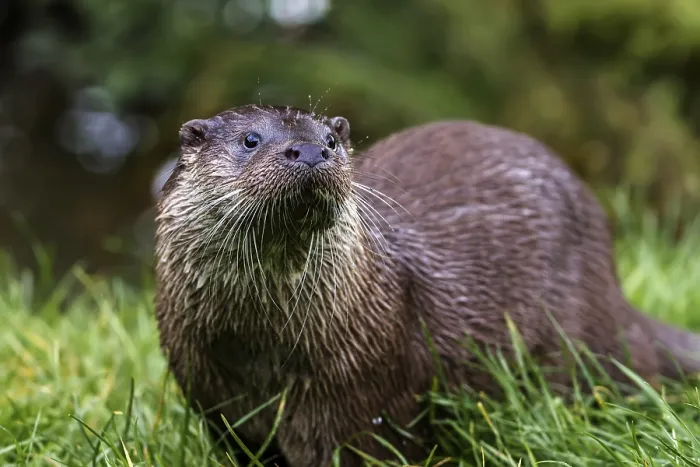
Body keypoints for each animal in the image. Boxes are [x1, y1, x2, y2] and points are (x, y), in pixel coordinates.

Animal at [154, 104, 700, 466]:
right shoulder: (216, 405)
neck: (263, 350)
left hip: (579, 341)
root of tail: (615, 292)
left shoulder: (366, 402)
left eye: (331, 140)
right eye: (250, 140)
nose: (311, 150)